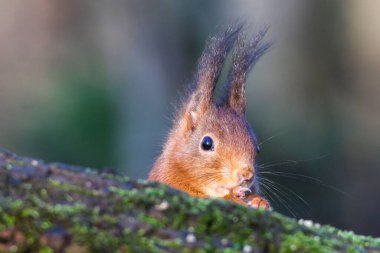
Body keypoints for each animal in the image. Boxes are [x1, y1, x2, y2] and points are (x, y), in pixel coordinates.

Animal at [148, 25, 270, 210]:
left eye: (257, 149)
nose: (246, 176)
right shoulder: (170, 182)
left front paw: (259, 201)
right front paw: (233, 196)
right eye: (206, 144)